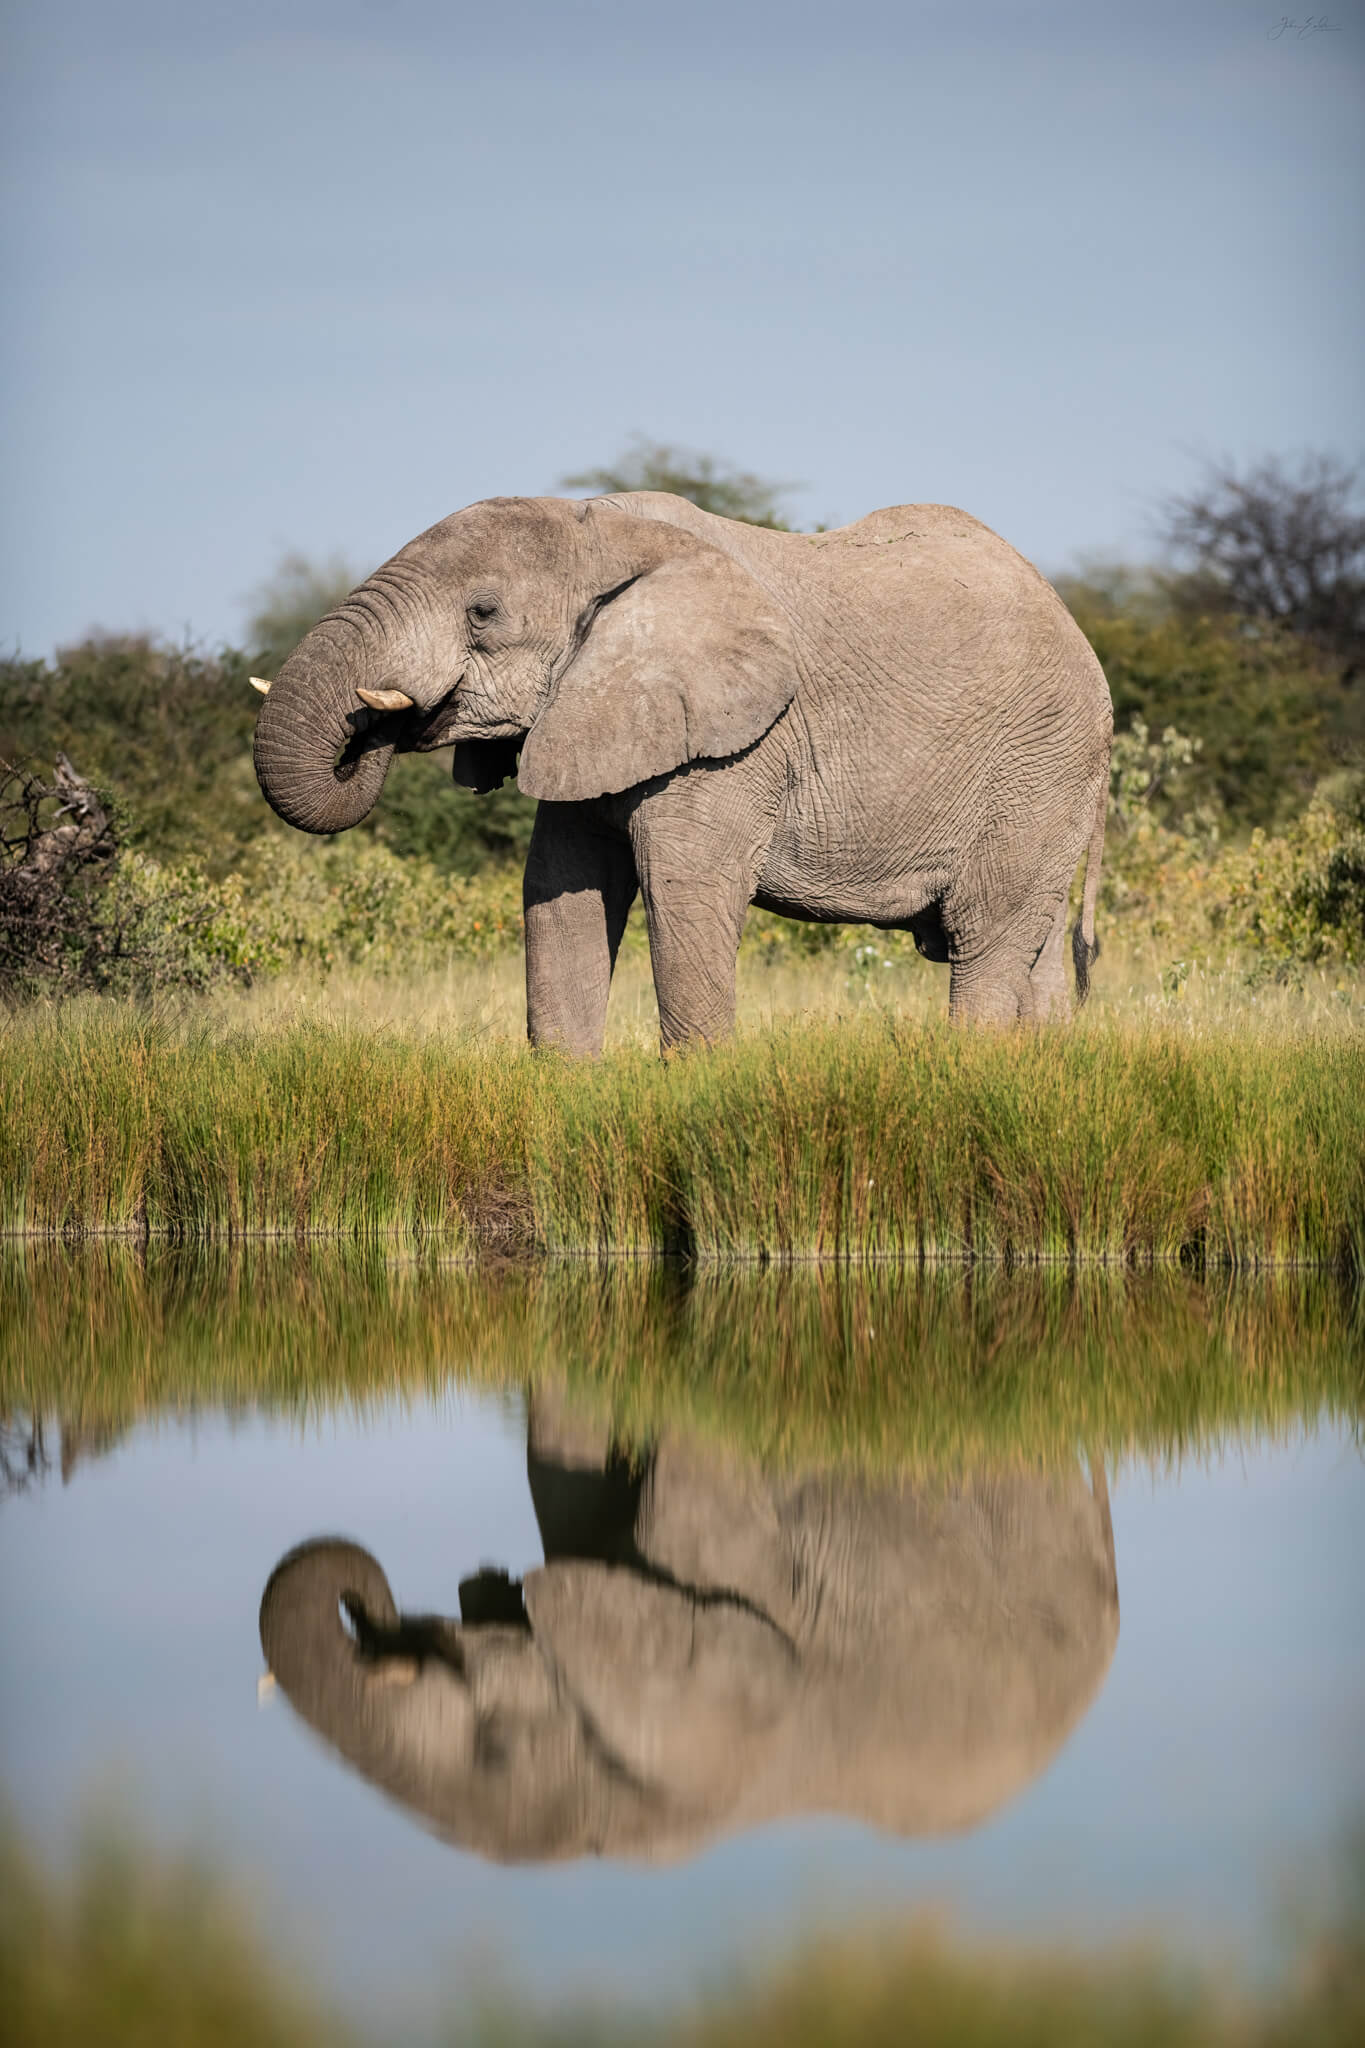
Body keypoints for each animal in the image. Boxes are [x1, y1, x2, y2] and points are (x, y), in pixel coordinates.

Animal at [251, 493, 1113, 1050]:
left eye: (483, 613)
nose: (380, 725)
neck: (607, 528)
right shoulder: (590, 714)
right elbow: (559, 891)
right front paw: (565, 1090)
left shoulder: (733, 743)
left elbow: (684, 890)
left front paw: (701, 1088)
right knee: (1029, 953)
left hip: (1039, 767)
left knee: (983, 940)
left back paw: (969, 1072)